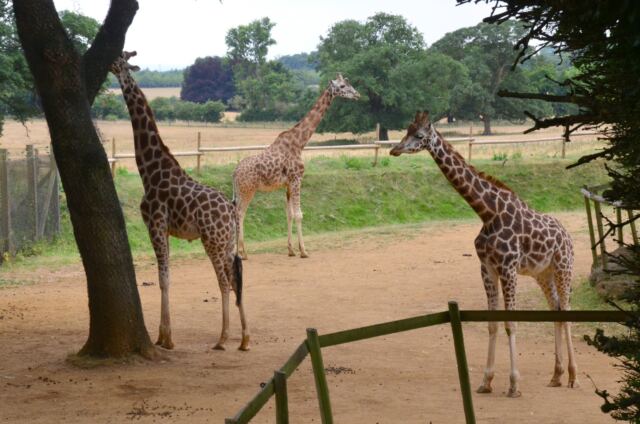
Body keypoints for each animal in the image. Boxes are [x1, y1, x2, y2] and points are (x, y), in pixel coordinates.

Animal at [110, 51, 249, 351]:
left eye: (121, 57)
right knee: (236, 278)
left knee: (223, 281)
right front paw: (163, 336)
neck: (150, 171)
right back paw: (244, 339)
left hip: (212, 240)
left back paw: (223, 338)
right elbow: (166, 277)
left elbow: (163, 278)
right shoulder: (164, 230)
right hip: (228, 242)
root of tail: (232, 210)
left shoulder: (155, 225)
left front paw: (166, 337)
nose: (109, 63)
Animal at [233, 74, 359, 259]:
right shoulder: (297, 179)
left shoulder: (288, 184)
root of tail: (234, 173)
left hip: (241, 191)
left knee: (236, 212)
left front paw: (291, 250)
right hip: (248, 190)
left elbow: (289, 215)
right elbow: (299, 214)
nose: (357, 94)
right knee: (240, 213)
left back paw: (238, 251)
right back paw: (242, 252)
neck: (300, 143)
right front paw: (304, 251)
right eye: (342, 86)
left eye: (349, 84)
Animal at [390, 111, 577, 397]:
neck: (488, 213)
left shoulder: (508, 268)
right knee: (555, 307)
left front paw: (513, 384)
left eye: (419, 135)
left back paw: (573, 376)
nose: (395, 149)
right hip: (542, 273)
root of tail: (567, 236)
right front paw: (486, 381)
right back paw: (556, 376)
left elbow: (511, 323)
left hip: (563, 267)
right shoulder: (486, 268)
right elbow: (492, 323)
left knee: (566, 309)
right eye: (406, 130)